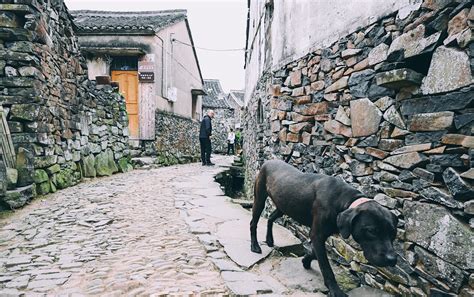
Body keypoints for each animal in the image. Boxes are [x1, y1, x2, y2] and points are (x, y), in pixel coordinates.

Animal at [250, 160, 398, 296]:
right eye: (371, 231)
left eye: (393, 233)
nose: (392, 259)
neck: (344, 200)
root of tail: (267, 162)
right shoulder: (317, 234)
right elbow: (326, 267)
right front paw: (336, 291)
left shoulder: (319, 235)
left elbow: (316, 253)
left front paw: (306, 260)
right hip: (260, 199)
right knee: (253, 223)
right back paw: (255, 246)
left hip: (283, 206)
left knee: (270, 218)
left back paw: (269, 240)